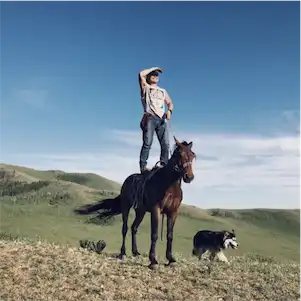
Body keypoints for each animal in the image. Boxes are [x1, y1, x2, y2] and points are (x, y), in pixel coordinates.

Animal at [74, 136, 196, 268]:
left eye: (192, 155)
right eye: (180, 154)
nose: (189, 177)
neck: (169, 185)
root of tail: (127, 180)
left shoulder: (173, 212)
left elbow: (170, 235)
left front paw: (170, 259)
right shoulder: (156, 210)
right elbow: (154, 234)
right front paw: (153, 260)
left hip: (140, 211)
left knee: (134, 228)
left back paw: (135, 251)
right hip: (126, 207)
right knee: (125, 228)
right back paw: (122, 253)